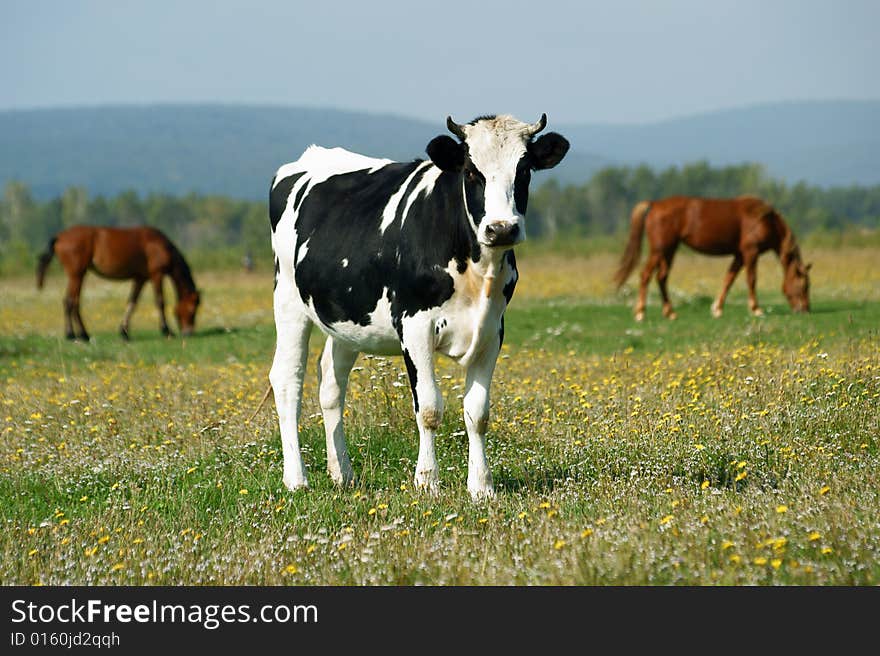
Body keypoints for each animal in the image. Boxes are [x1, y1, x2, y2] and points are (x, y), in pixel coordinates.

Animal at [37, 226, 200, 340]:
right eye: (192, 310)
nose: (189, 332)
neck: (161, 245)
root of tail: (59, 237)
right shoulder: (156, 275)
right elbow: (160, 301)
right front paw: (167, 330)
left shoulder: (140, 278)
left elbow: (132, 302)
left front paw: (124, 332)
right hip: (77, 275)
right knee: (72, 302)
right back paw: (79, 334)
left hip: (77, 275)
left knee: (69, 301)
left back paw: (76, 334)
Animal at [270, 115, 572, 500]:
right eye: (471, 171)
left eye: (524, 170)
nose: (502, 228)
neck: (477, 272)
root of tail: (309, 157)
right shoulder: (414, 326)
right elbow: (428, 408)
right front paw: (427, 480)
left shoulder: (492, 330)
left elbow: (478, 412)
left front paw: (482, 486)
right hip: (289, 300)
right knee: (288, 380)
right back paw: (296, 479)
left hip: (345, 319)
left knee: (331, 386)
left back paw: (343, 474)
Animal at [612, 195, 812, 320]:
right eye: (803, 285)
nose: (805, 310)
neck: (765, 219)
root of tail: (655, 204)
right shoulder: (750, 252)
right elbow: (751, 279)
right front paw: (756, 309)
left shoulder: (739, 255)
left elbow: (729, 279)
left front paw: (717, 308)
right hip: (659, 250)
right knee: (645, 275)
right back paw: (640, 313)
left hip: (669, 250)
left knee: (661, 277)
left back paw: (670, 313)